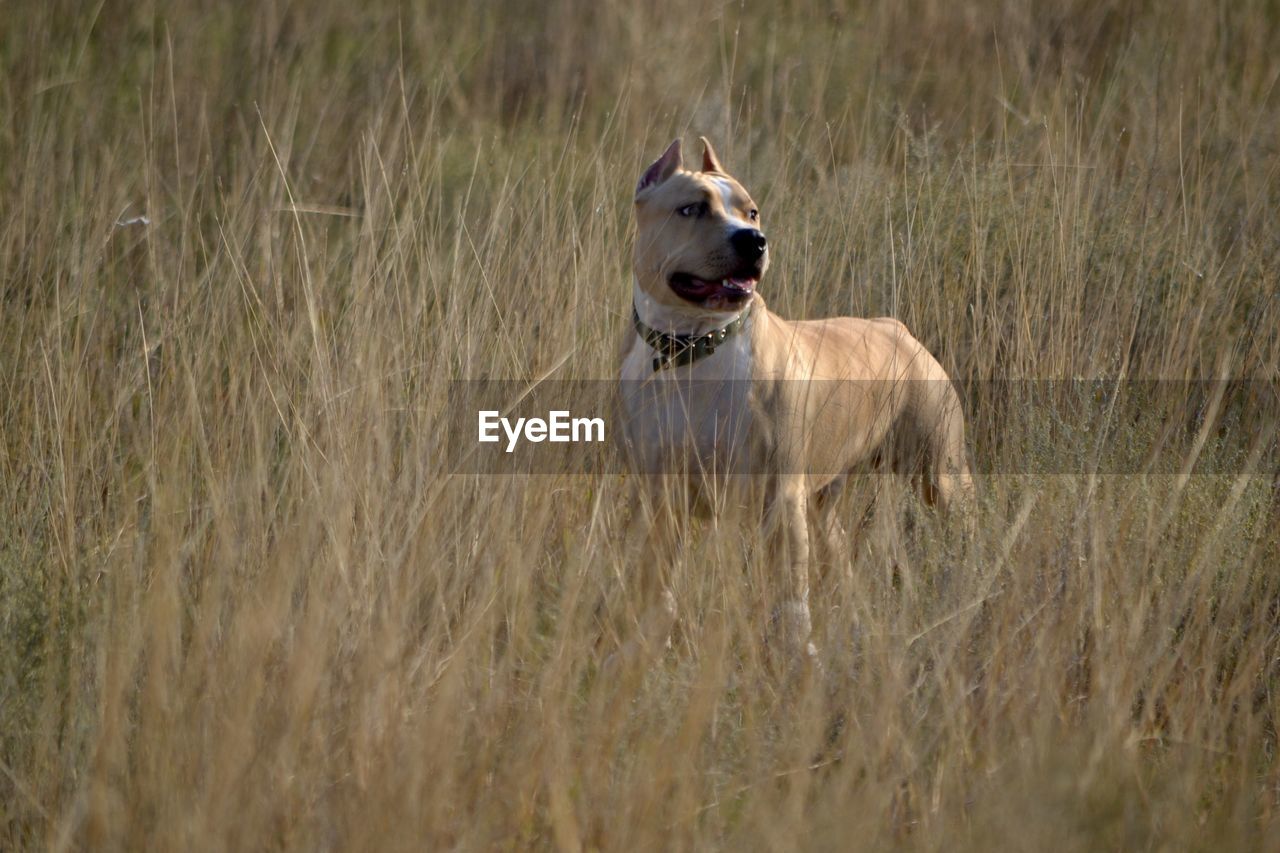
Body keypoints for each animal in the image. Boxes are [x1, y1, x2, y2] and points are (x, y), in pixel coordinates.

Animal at [616, 134, 967, 666]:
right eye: (691, 208)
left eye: (752, 211)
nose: (752, 240)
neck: (693, 346)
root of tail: (897, 329)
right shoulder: (658, 497)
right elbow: (655, 585)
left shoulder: (778, 498)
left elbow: (789, 598)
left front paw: (796, 655)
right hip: (823, 500)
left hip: (939, 476)